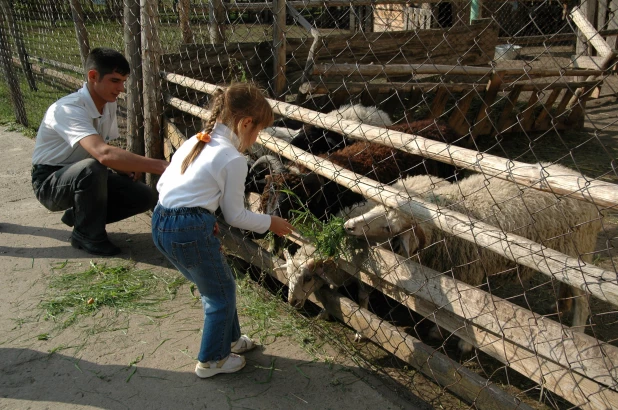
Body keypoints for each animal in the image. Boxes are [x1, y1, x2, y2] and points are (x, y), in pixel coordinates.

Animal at [340, 163, 600, 352]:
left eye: (388, 227)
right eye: (376, 207)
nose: (348, 226)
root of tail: (575, 174)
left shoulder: (469, 271)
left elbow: (467, 312)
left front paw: (464, 342)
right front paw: (438, 330)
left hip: (579, 254)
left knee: (583, 301)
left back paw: (577, 334)